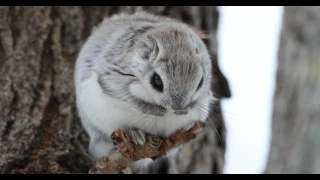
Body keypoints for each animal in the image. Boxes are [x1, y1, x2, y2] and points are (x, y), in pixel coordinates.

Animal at [74, 11, 216, 170]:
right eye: (157, 81)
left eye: (201, 82)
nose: (177, 106)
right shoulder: (113, 74)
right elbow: (124, 95)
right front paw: (153, 109)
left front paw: (185, 110)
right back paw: (135, 134)